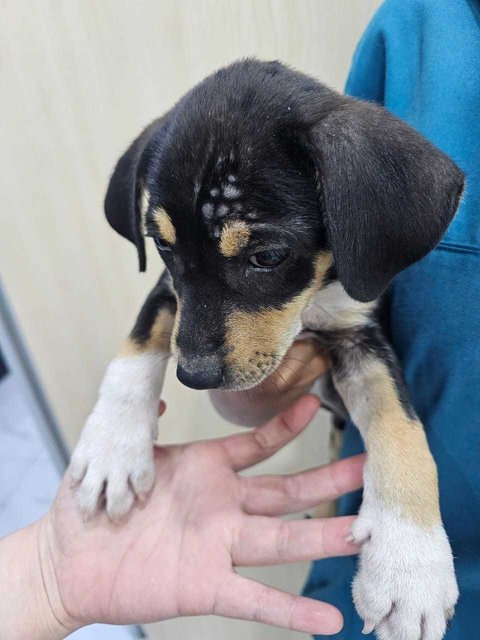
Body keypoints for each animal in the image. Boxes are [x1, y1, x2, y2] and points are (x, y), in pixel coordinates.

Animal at [69, 60, 464, 640]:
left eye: (268, 255)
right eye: (161, 246)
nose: (194, 376)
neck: (313, 301)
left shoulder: (360, 332)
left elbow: (401, 428)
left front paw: (409, 564)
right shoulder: (171, 292)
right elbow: (138, 343)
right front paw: (112, 448)